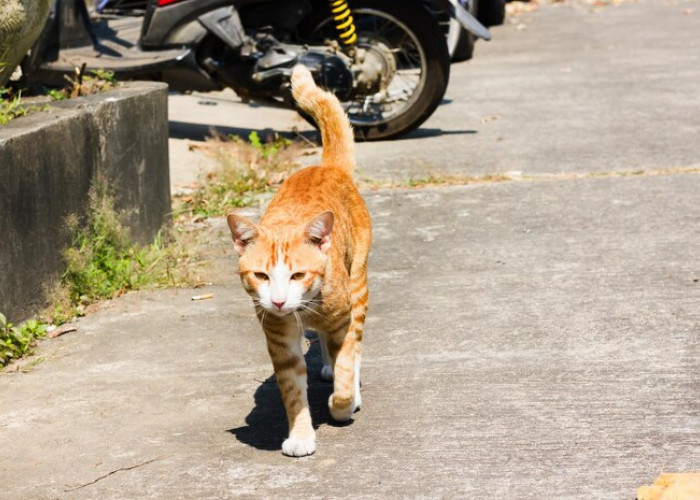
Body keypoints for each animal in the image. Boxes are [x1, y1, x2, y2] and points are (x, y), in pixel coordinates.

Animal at [230, 64, 372, 456]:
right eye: (261, 276)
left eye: (297, 275)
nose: (279, 301)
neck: (304, 307)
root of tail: (325, 167)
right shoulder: (280, 341)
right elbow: (293, 391)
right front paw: (301, 435)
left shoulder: (343, 317)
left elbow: (346, 366)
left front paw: (343, 403)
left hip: (359, 283)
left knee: (352, 343)